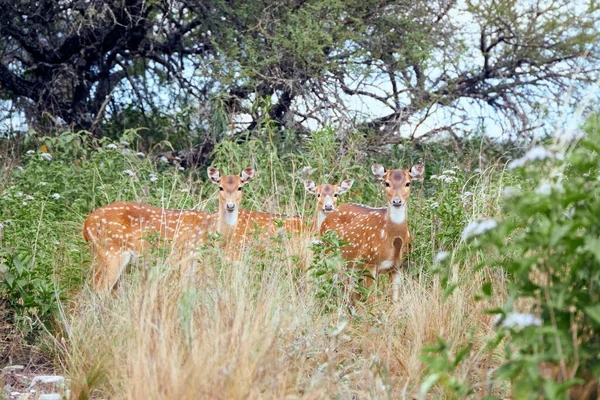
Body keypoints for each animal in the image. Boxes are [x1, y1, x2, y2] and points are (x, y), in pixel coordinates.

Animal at [322, 163, 424, 300]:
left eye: (408, 183)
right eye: (386, 183)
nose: (397, 201)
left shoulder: (398, 266)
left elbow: (395, 300)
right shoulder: (369, 261)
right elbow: (372, 299)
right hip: (328, 253)